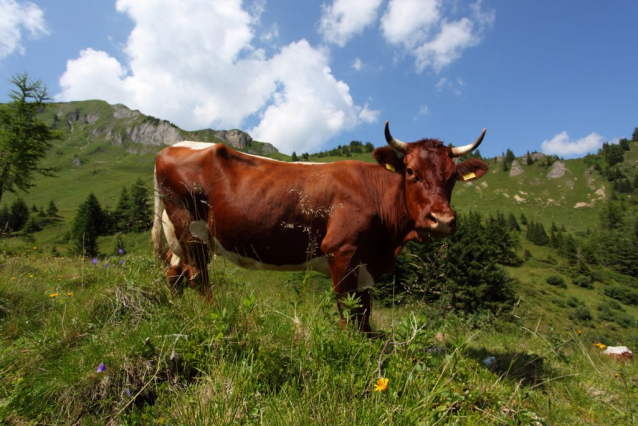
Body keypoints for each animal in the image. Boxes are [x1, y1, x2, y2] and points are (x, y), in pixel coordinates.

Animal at [151, 121, 490, 332]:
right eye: (410, 171)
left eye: (452, 177)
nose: (442, 220)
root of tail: (170, 148)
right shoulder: (342, 252)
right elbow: (347, 309)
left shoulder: (366, 265)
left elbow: (365, 314)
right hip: (190, 226)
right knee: (198, 278)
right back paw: (213, 317)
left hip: (178, 233)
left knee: (174, 272)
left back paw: (177, 313)